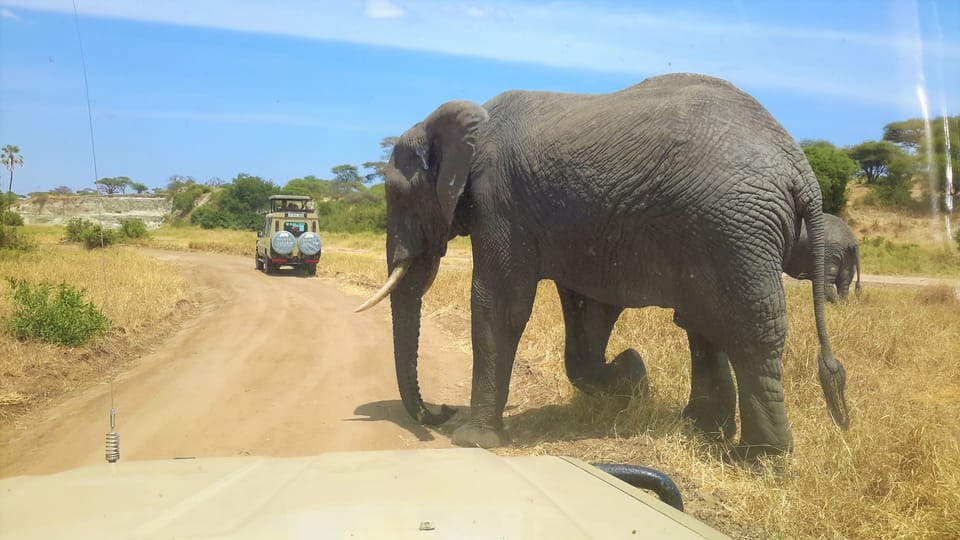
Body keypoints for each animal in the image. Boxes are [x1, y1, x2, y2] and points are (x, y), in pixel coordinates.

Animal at [356, 73, 852, 460]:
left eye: (396, 195)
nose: (438, 412)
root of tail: (800, 168)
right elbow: (586, 308)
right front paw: (634, 376)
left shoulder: (499, 202)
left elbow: (501, 303)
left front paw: (473, 441)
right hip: (726, 231)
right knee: (705, 322)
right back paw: (702, 430)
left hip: (734, 226)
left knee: (747, 329)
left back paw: (759, 459)